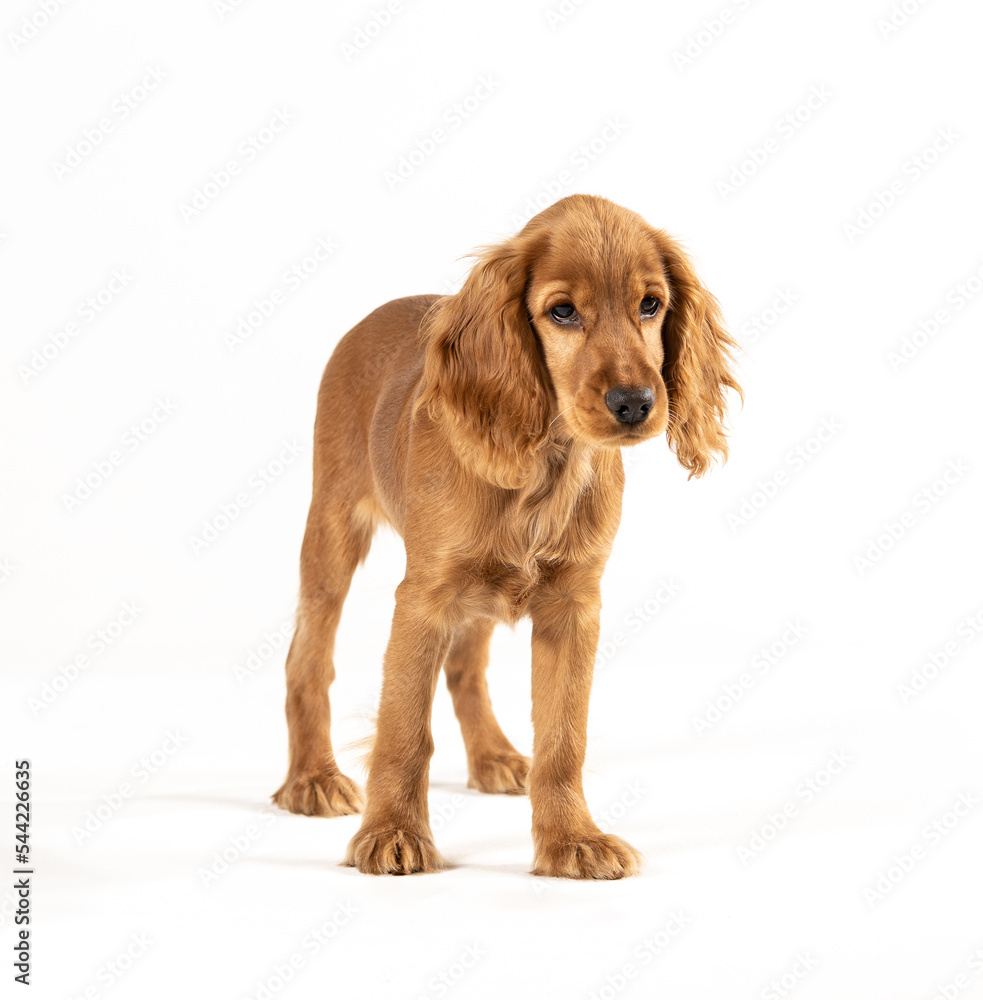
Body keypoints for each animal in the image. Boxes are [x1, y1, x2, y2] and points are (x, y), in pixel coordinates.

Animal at [270, 193, 736, 876]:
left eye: (651, 305)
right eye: (562, 311)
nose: (634, 403)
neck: (546, 465)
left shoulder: (574, 605)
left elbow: (564, 738)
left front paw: (571, 840)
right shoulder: (424, 597)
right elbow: (404, 730)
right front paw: (392, 833)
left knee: (465, 666)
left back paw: (492, 756)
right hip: (332, 528)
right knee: (307, 656)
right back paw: (311, 779)